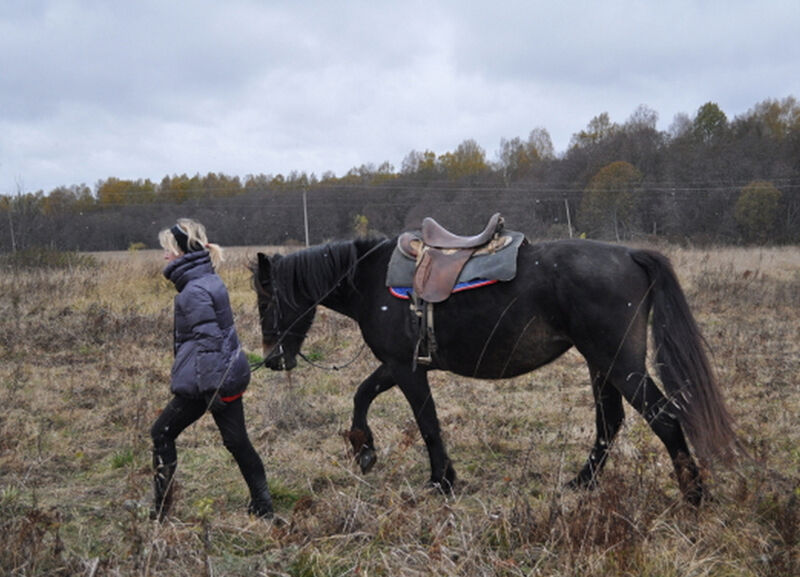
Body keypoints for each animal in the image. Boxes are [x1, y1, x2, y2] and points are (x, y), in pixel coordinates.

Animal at [252, 232, 736, 502]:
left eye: (267, 299)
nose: (273, 359)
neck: (372, 280)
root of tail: (632, 254)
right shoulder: (397, 365)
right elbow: (363, 394)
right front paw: (364, 448)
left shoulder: (406, 369)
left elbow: (427, 423)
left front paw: (441, 481)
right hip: (602, 363)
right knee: (610, 421)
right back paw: (582, 483)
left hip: (618, 362)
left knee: (664, 418)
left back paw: (694, 497)